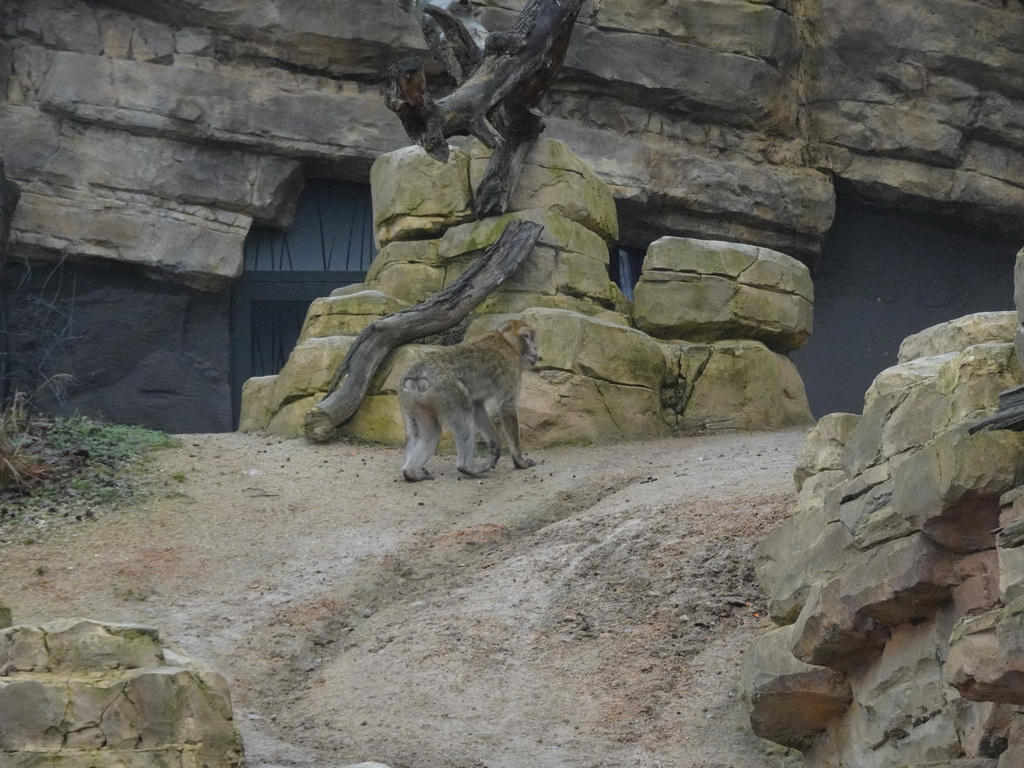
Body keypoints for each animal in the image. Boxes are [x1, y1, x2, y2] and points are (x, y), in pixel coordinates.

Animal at [399, 321, 540, 483]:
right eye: (527, 336)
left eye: (532, 337)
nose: (536, 347)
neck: (507, 342)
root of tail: (415, 374)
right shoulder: (510, 367)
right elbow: (506, 407)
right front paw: (519, 461)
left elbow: (477, 405)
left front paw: (496, 445)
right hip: (447, 391)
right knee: (464, 411)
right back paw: (468, 467)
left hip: (410, 401)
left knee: (430, 432)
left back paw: (411, 472)